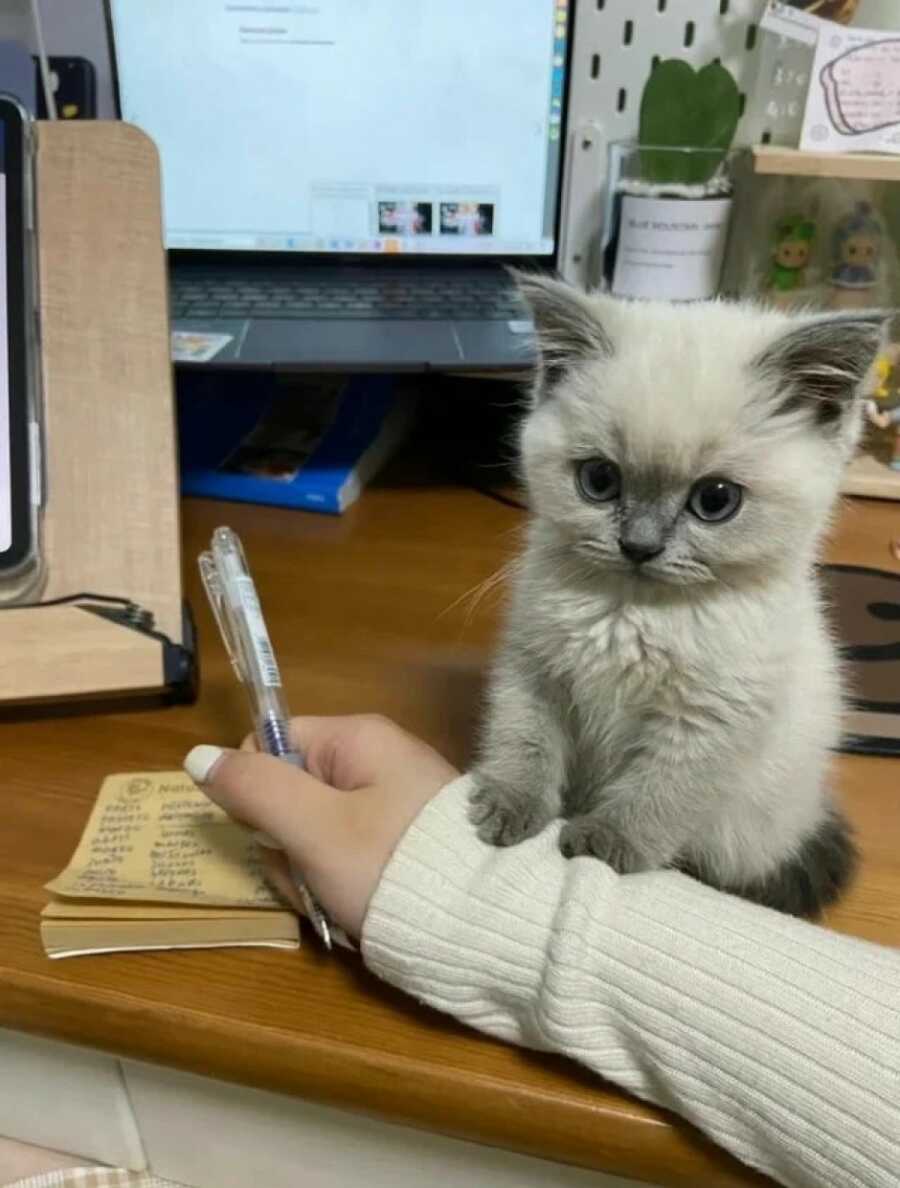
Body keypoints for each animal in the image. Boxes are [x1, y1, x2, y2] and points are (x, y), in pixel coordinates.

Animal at [472, 277, 888, 917]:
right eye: (599, 481)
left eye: (715, 500)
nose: (638, 546)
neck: (634, 612)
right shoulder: (534, 667)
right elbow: (524, 737)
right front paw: (508, 803)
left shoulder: (708, 719)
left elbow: (660, 792)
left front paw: (608, 843)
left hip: (746, 826)